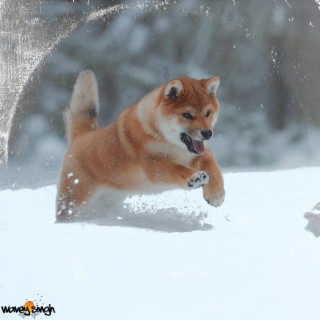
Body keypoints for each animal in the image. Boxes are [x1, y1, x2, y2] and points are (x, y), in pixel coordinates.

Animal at [55, 70, 225, 221]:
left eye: (208, 113)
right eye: (187, 115)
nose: (207, 133)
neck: (170, 143)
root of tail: (82, 135)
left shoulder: (200, 154)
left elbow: (213, 168)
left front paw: (216, 194)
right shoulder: (154, 164)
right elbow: (177, 169)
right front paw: (194, 177)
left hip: (109, 199)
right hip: (75, 198)